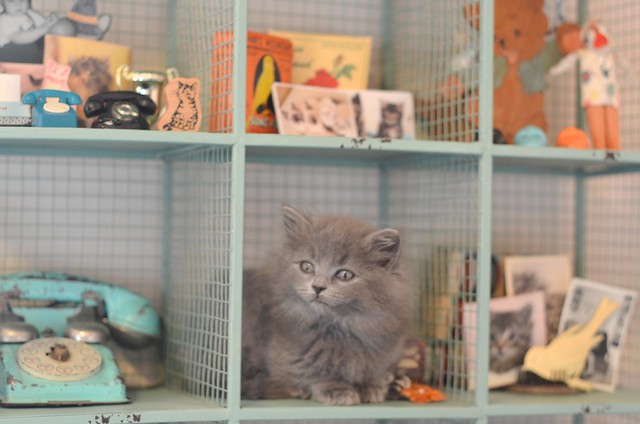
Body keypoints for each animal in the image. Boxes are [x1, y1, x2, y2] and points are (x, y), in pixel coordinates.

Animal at [241, 205, 413, 405]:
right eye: (306, 266)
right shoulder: (289, 357)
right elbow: (314, 371)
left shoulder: (384, 351)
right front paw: (336, 388)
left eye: (344, 275)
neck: (341, 327)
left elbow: (374, 369)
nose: (317, 287)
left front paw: (372, 386)